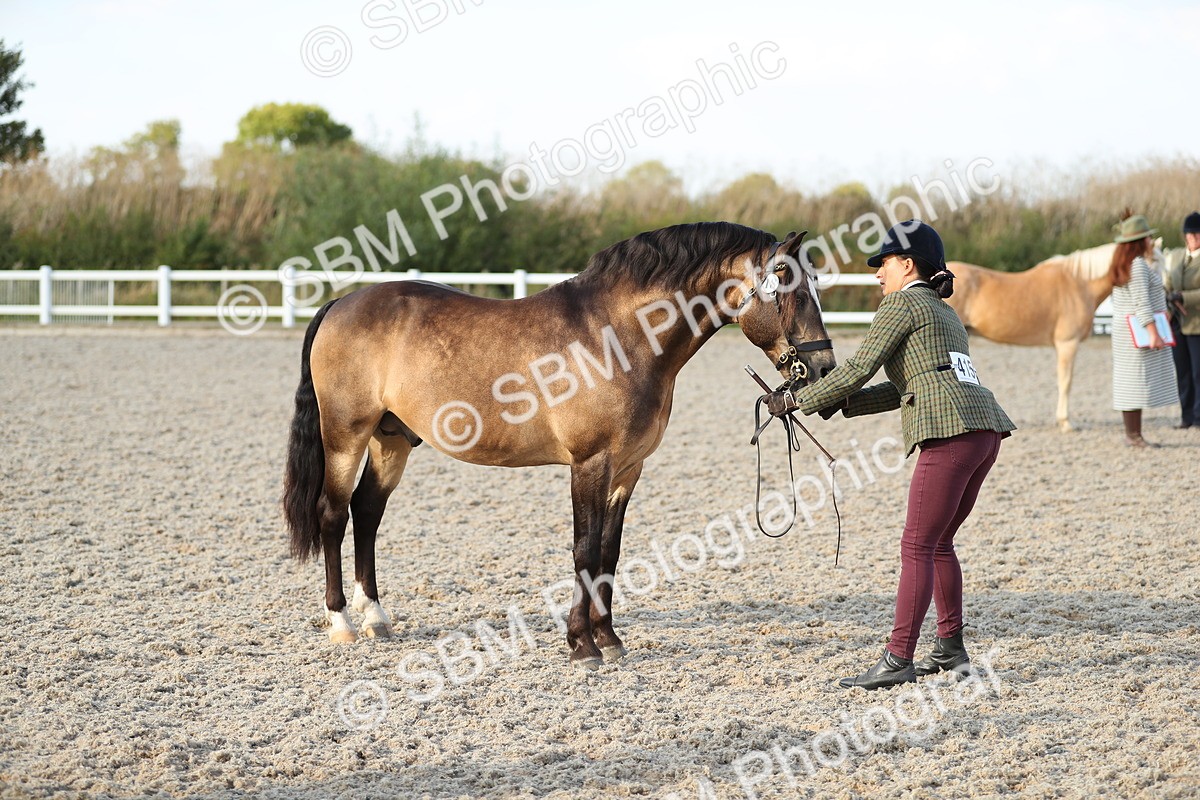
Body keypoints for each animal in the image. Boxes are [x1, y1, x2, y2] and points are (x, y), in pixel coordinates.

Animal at [282, 222, 837, 669]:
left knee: (367, 512)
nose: (824, 367)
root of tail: (341, 304)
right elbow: (583, 549)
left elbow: (609, 552)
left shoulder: (628, 469)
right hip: (346, 437)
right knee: (333, 514)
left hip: (391, 439)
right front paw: (581, 646)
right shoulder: (589, 463)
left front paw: (609, 639)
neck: (618, 337)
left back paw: (375, 616)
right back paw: (341, 622)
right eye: (790, 290)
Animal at [945, 240, 1164, 432]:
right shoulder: (1068, 343)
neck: (1080, 283)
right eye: (1154, 260)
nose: (1166, 291)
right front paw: (1066, 423)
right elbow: (1066, 382)